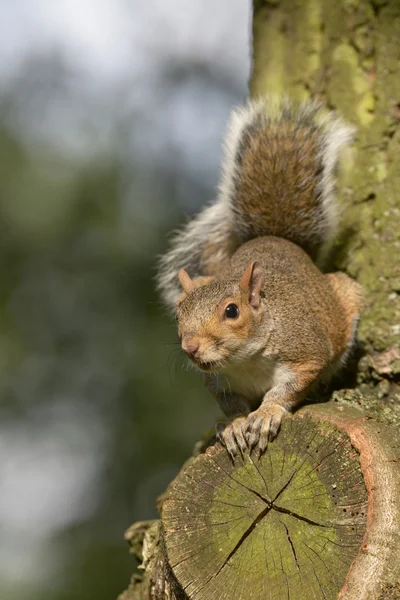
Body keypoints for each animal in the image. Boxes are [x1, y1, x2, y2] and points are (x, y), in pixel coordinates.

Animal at [157, 96, 362, 458]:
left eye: (232, 311)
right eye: (179, 314)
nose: (191, 347)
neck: (244, 362)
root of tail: (276, 239)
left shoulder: (305, 352)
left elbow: (287, 390)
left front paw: (266, 414)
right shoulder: (218, 382)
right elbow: (231, 404)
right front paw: (236, 425)